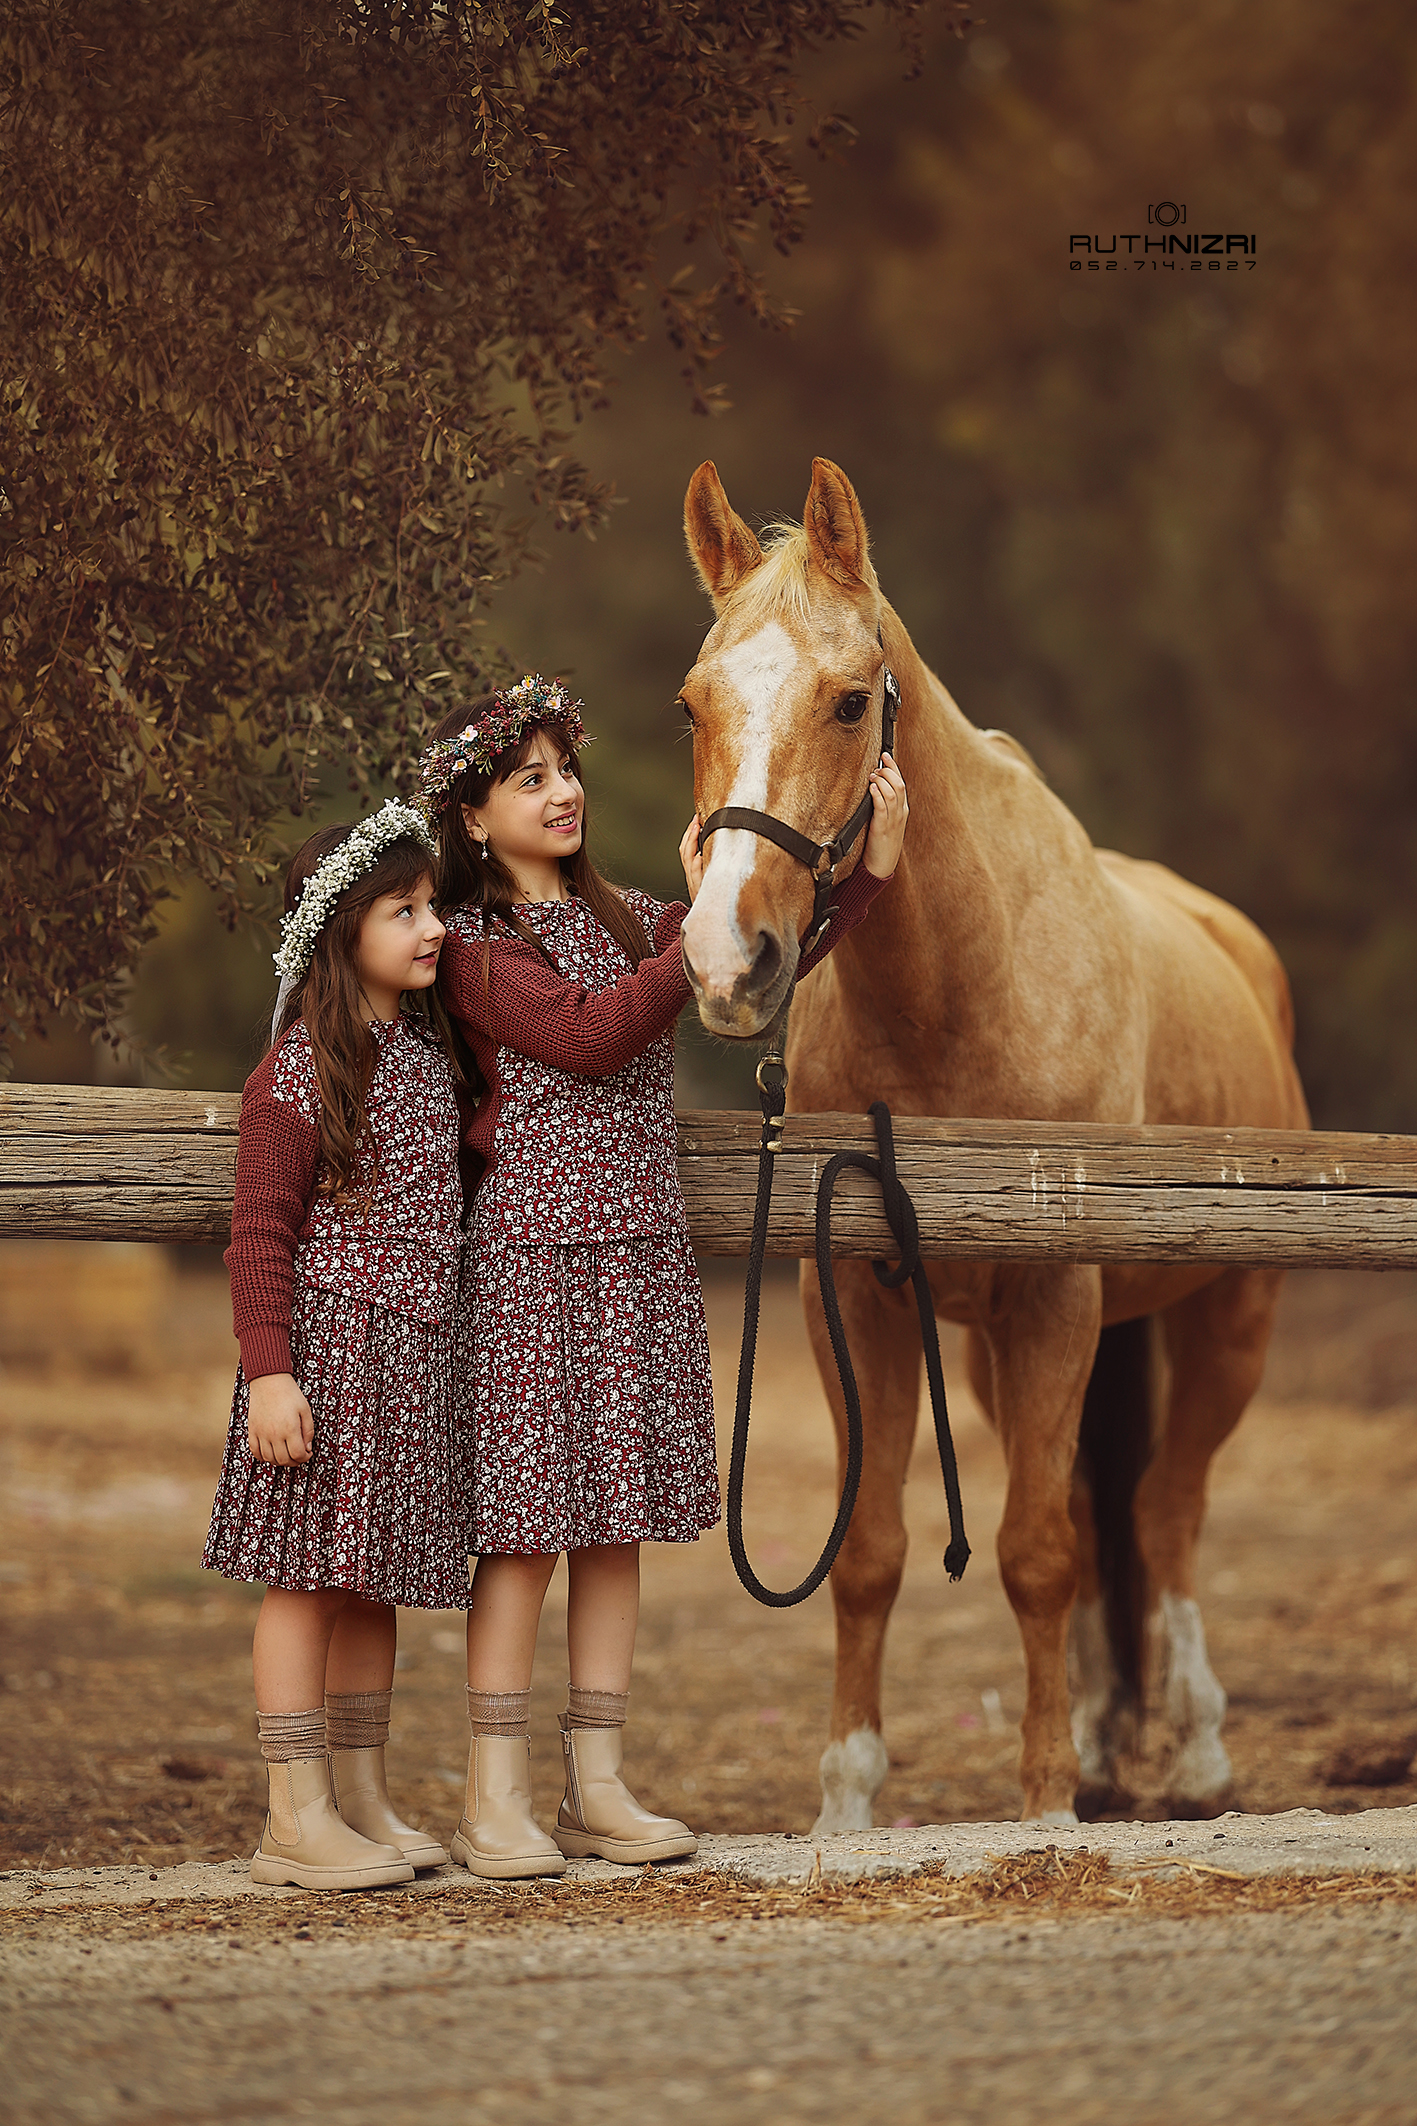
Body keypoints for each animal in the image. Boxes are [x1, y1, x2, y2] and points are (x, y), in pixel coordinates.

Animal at [675, 457, 1308, 1819]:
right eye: (693, 701)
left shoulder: (1057, 1294)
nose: (725, 959)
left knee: (1167, 1514)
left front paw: (1042, 1796)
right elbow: (870, 1551)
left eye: (849, 700)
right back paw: (1114, 1736)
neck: (962, 991)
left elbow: (1034, 1550)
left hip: (1228, 1323)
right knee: (1102, 1505)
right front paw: (850, 1800)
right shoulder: (855, 1301)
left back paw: (1194, 1751)